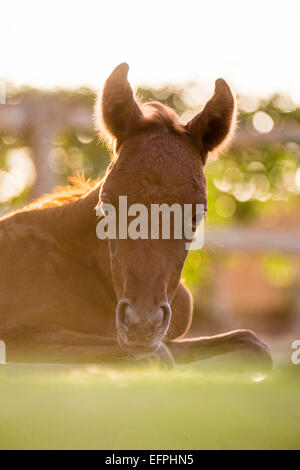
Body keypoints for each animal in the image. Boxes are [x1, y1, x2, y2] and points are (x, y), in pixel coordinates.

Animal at [0, 63, 272, 370]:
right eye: (106, 205)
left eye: (196, 215)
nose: (142, 323)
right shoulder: (21, 333)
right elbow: (157, 357)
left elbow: (253, 344)